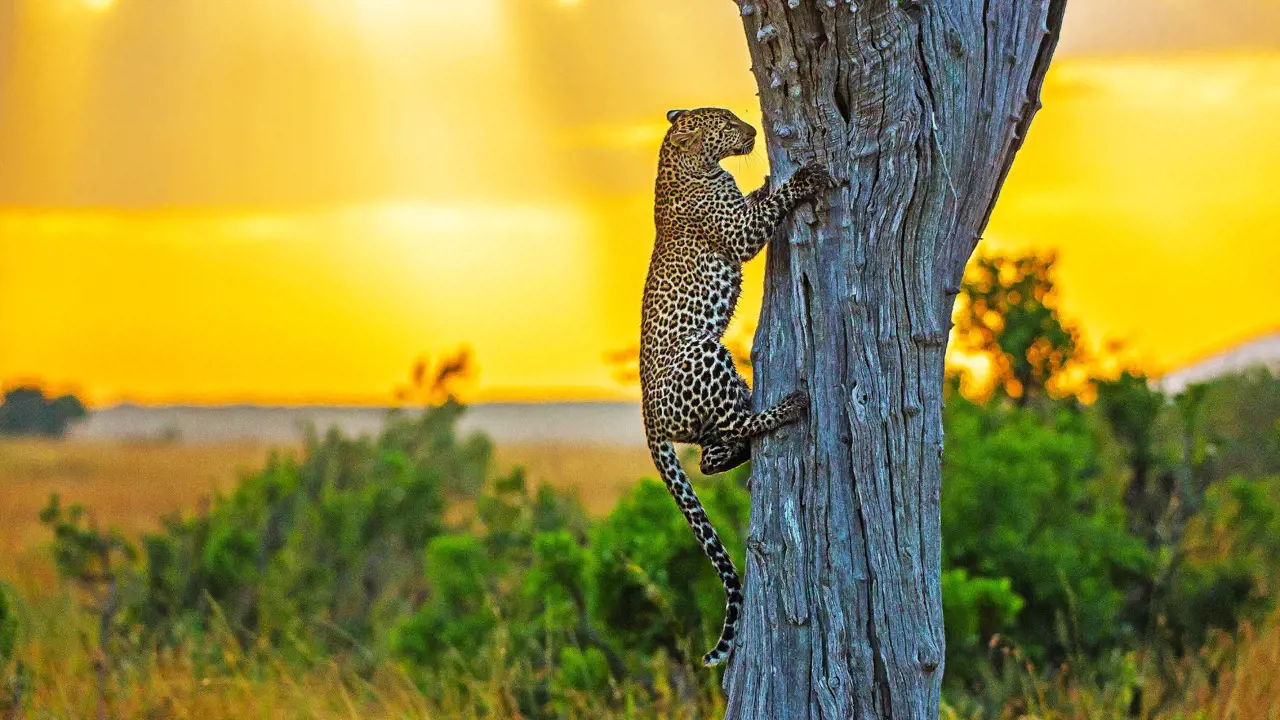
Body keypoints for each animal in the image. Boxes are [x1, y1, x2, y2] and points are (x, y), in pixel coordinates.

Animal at [640, 103, 839, 666]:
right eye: (726, 122)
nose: (751, 132)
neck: (686, 163)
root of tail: (646, 418)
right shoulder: (741, 232)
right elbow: (770, 207)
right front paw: (800, 179)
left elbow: (757, 199)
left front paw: (768, 180)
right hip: (704, 351)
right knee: (726, 433)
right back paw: (789, 407)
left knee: (712, 453)